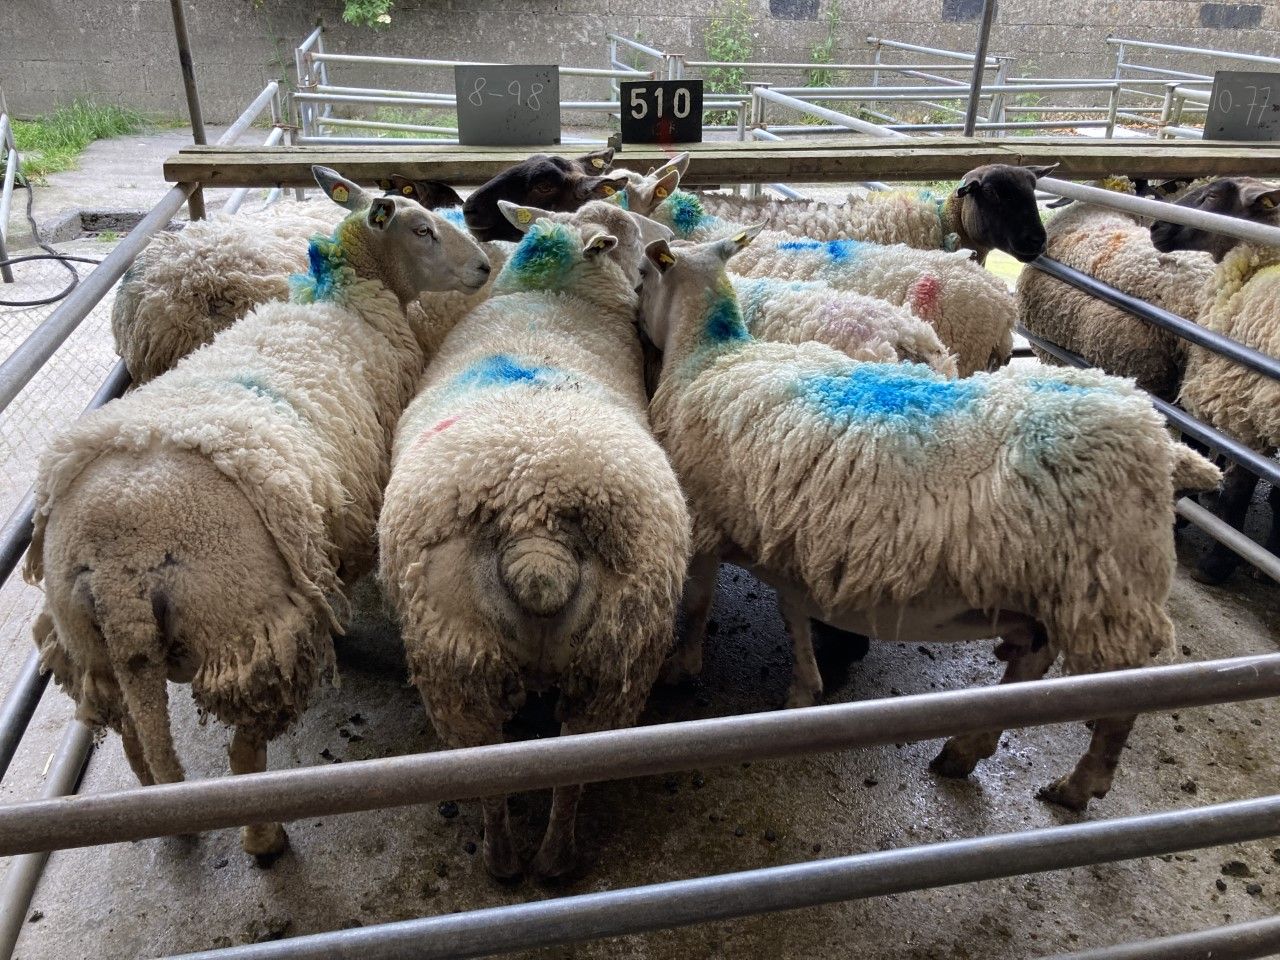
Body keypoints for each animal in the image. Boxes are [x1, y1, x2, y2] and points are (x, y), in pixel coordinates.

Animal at [25, 166, 491, 859]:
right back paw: (264, 837)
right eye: (423, 228)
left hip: (89, 648)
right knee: (245, 757)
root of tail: (119, 566)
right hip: (251, 629)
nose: (486, 266)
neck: (344, 294)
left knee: (132, 732)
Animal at [379, 200, 690, 881]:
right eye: (630, 232)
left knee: (501, 770)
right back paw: (543, 860)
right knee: (564, 771)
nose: (669, 241)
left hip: (480, 659)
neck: (553, 292)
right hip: (604, 659)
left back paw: (518, 859)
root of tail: (537, 537)